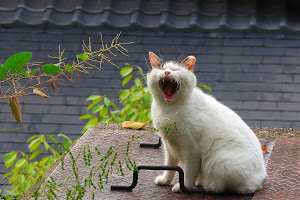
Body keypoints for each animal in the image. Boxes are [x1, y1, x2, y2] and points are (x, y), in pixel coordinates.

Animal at [148, 51, 268, 194]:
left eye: (175, 69)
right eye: (161, 68)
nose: (166, 72)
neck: (168, 109)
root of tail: (260, 178)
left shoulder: (191, 150)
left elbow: (188, 173)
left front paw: (183, 187)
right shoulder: (169, 146)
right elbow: (170, 167)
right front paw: (165, 181)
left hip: (220, 161)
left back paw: (206, 185)